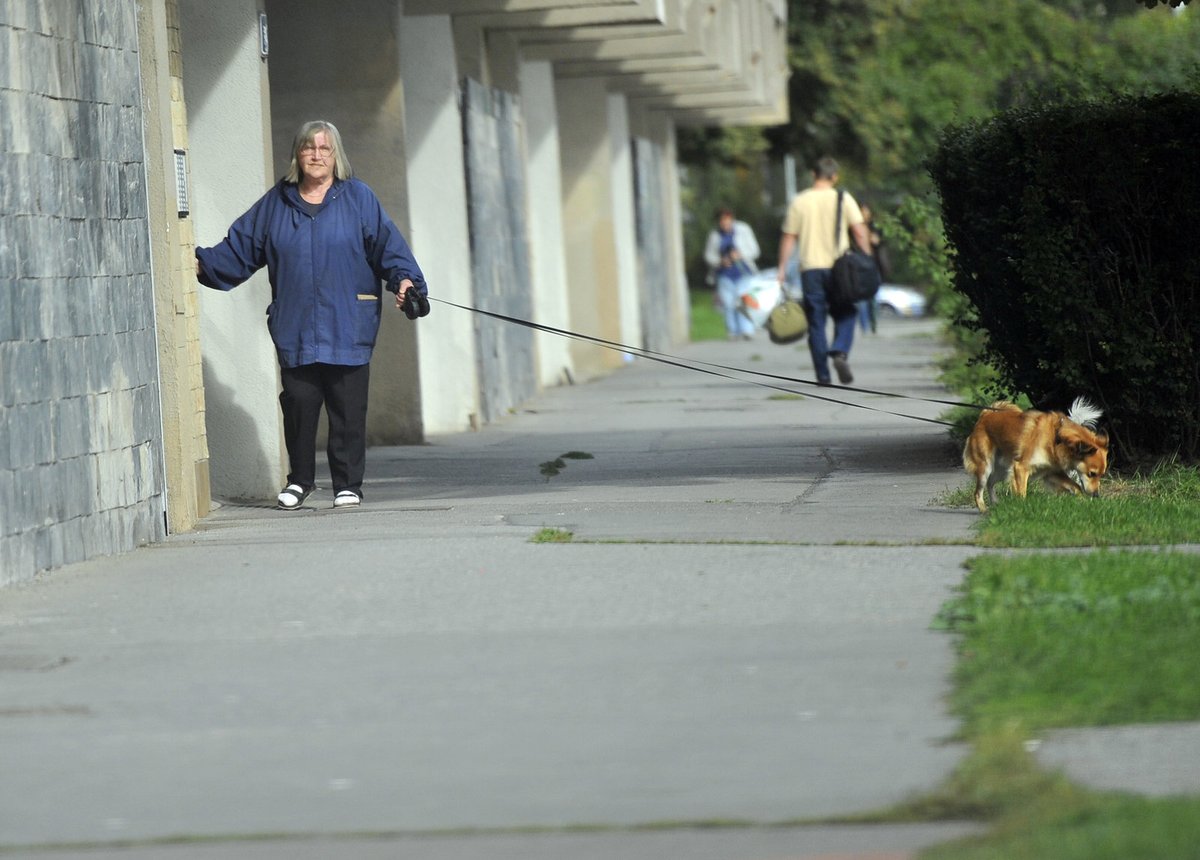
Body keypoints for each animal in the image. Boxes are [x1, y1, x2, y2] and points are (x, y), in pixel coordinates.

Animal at [960, 398, 1108, 513]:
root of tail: (985, 415)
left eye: (1101, 475)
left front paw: (1083, 502)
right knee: (978, 491)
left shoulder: (1051, 472)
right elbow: (1022, 493)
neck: (1056, 437)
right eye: (1092, 474)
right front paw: (1022, 509)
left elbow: (1076, 486)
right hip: (986, 467)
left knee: (990, 483)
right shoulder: (1020, 468)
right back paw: (983, 509)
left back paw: (996, 503)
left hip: (1003, 470)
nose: (1096, 495)